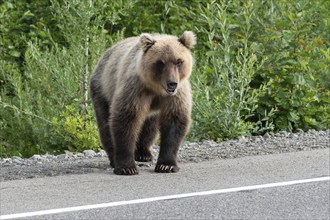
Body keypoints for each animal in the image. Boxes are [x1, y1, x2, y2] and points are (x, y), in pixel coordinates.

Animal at [90, 31, 195, 175]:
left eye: (179, 61)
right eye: (160, 62)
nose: (172, 83)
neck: (156, 89)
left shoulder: (177, 95)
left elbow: (174, 122)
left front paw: (166, 165)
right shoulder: (136, 89)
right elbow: (126, 120)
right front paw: (127, 167)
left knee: (149, 126)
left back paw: (143, 153)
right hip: (102, 90)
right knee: (105, 125)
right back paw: (113, 158)